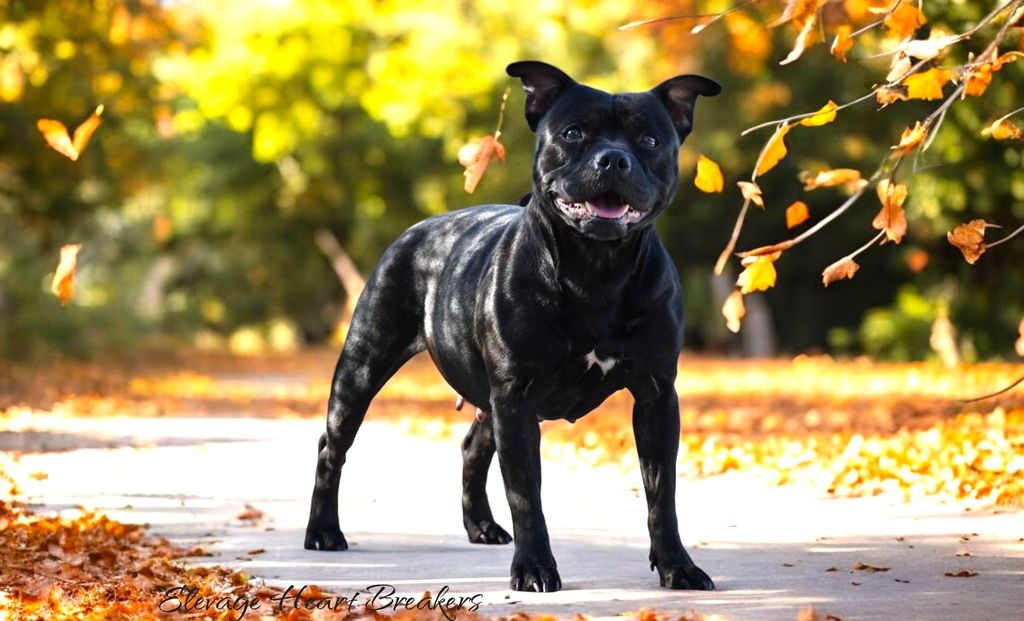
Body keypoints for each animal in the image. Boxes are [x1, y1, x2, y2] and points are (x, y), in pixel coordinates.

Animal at [303, 60, 720, 594]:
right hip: (363, 367)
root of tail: (417, 229)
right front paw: (536, 568)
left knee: (470, 448)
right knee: (331, 446)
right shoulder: (516, 398)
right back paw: (323, 531)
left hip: (488, 398)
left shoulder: (656, 395)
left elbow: (661, 493)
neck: (596, 270)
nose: (613, 160)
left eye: (649, 140)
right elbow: (525, 494)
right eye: (573, 133)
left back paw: (480, 525)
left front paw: (677, 565)